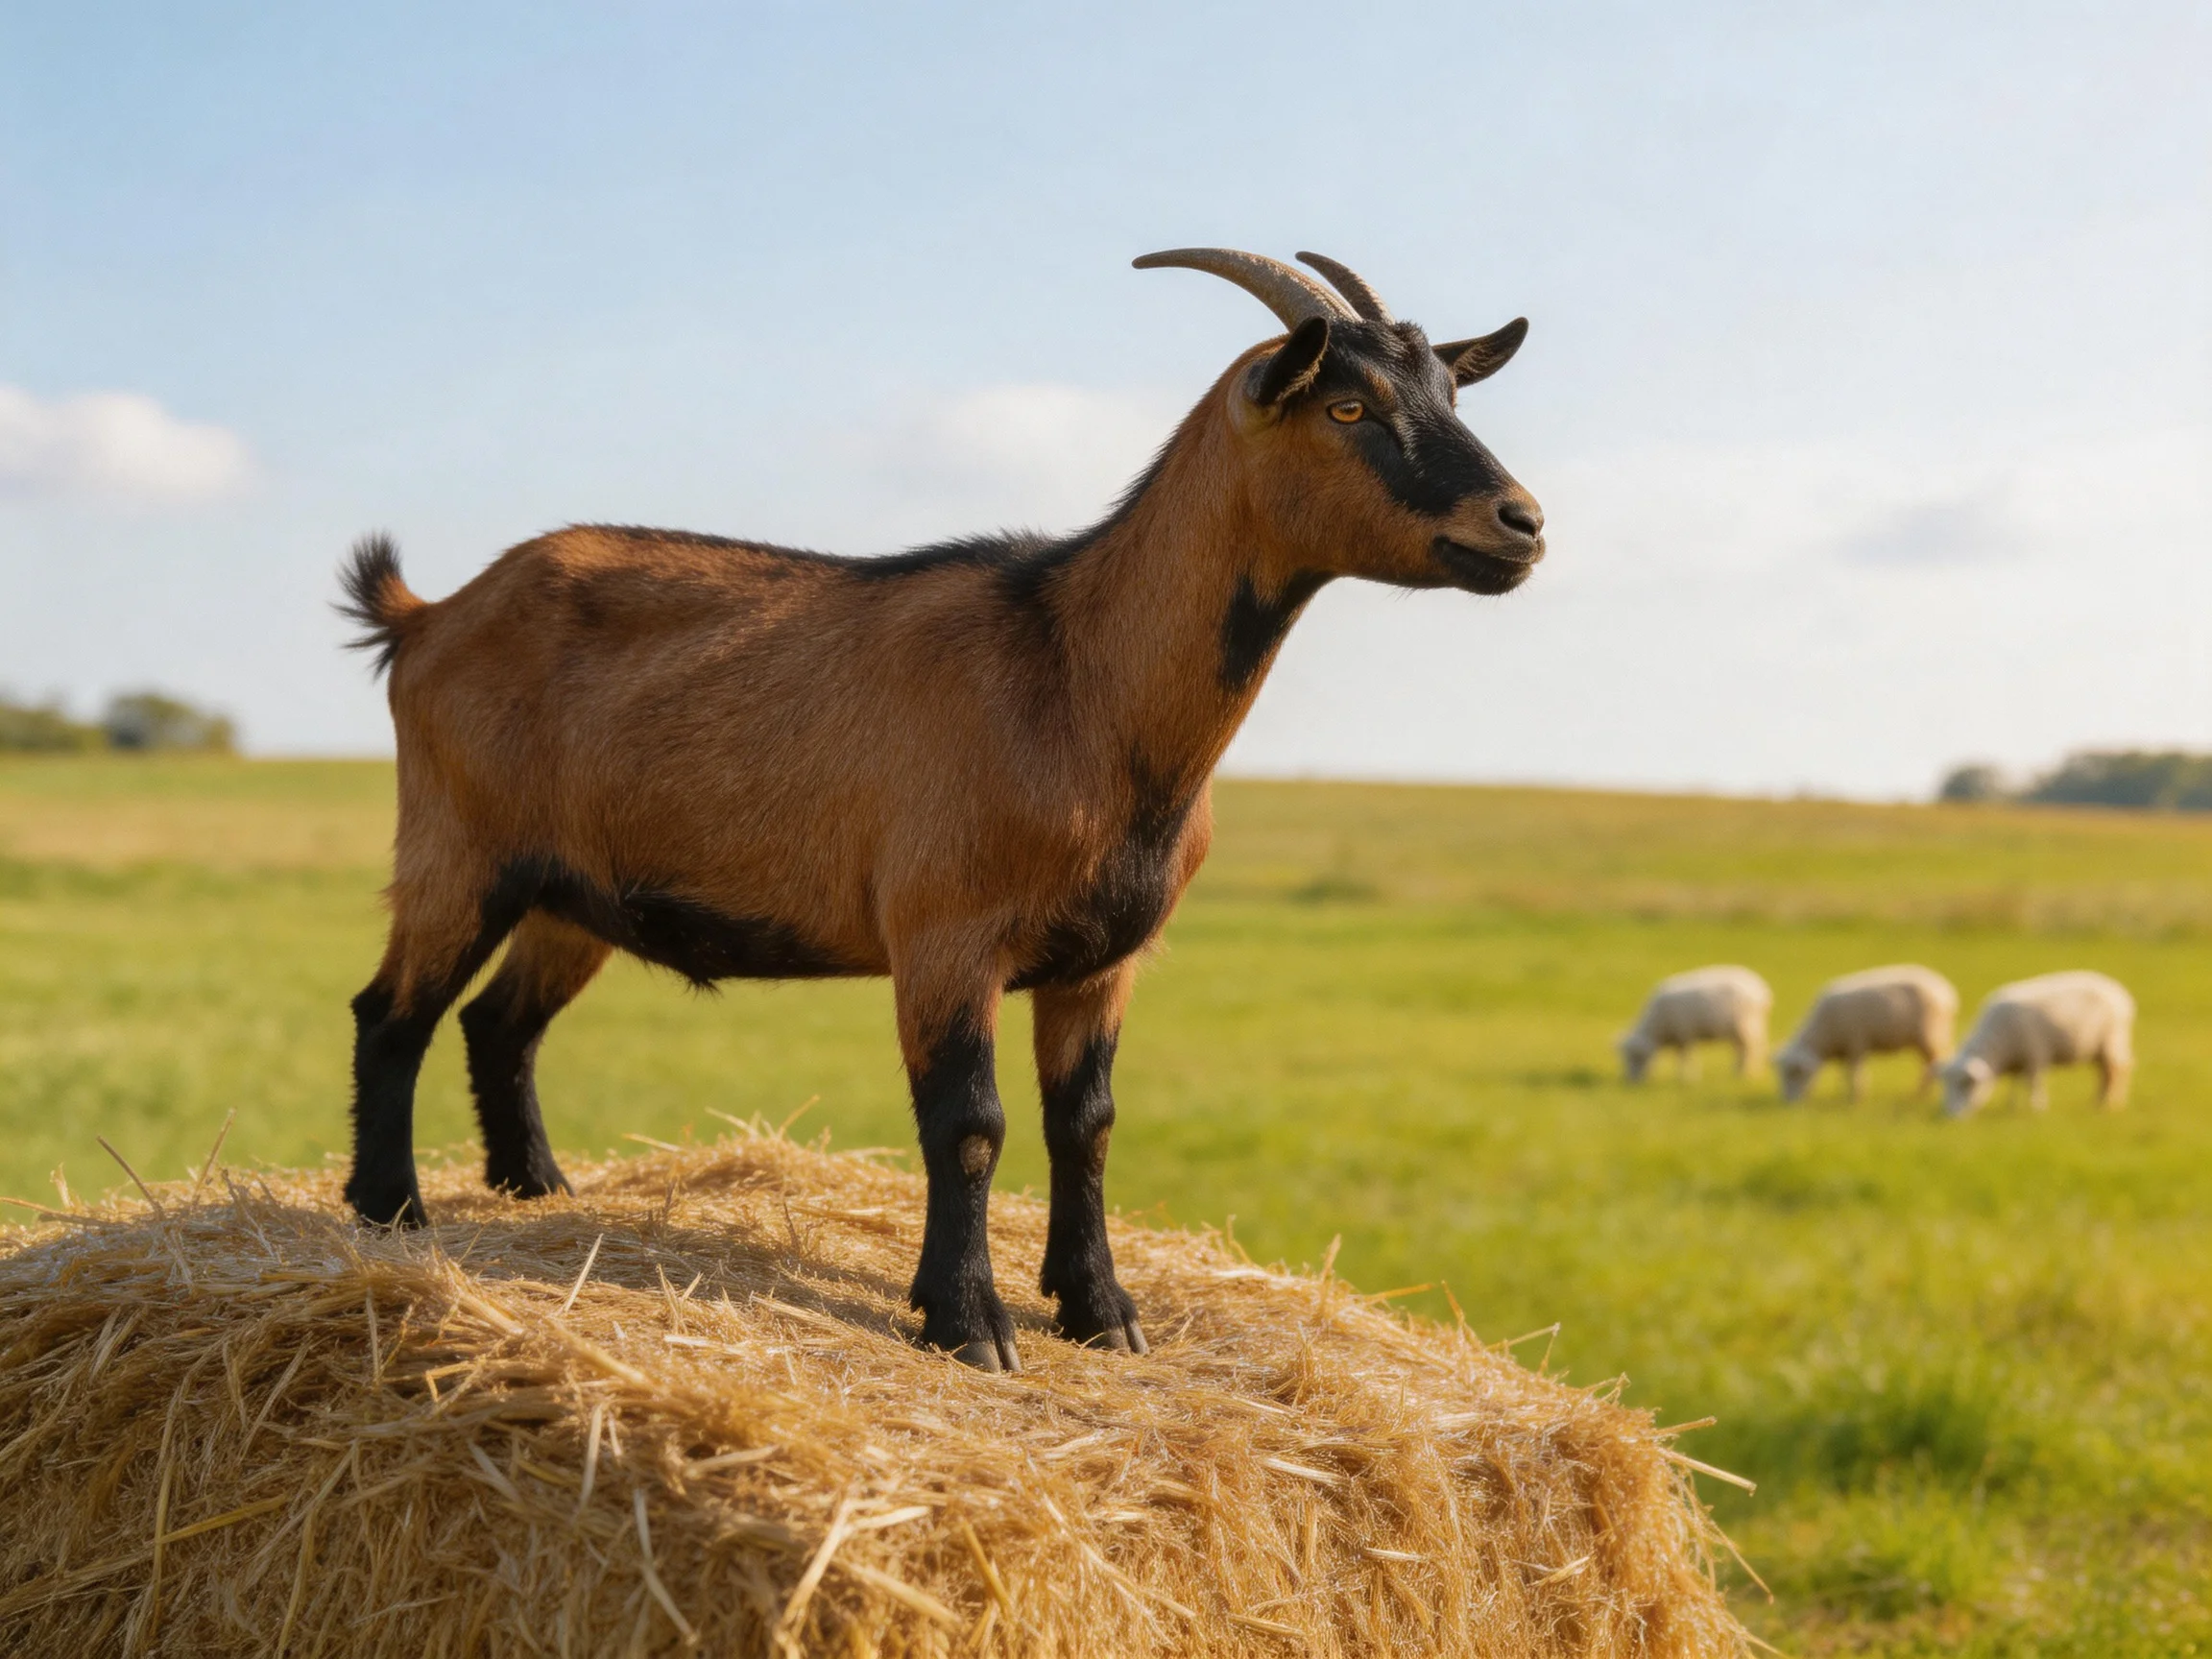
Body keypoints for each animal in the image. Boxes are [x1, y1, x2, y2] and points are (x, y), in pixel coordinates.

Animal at [335, 248, 1545, 1372]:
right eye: (1347, 407)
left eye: (1451, 392)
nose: (1522, 522)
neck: (1077, 675)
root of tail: (427, 617)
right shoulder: (944, 934)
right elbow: (969, 1126)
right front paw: (970, 1325)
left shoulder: (1105, 959)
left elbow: (1085, 1127)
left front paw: (1101, 1313)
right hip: (458, 849)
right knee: (392, 1013)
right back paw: (392, 1211)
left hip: (569, 893)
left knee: (500, 1023)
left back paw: (536, 1188)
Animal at [1617, 966, 1772, 1083]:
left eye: (1637, 1056)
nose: (1631, 1081)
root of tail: (1762, 990)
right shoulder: (1680, 1037)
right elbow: (1681, 1057)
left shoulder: (1685, 1034)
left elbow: (1686, 1057)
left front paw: (1687, 1078)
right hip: (1741, 1029)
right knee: (1742, 1050)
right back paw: (1739, 1071)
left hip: (1745, 1026)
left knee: (1750, 1050)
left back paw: (1745, 1074)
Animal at [1774, 964, 1959, 1103]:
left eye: (1795, 1072)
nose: (1789, 1102)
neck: (1823, 1035)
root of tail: (1947, 992)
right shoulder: (1845, 1051)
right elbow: (1844, 1075)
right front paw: (1842, 1095)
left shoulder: (1856, 1044)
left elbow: (1854, 1074)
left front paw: (1855, 1099)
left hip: (1931, 1037)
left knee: (1934, 1064)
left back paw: (1921, 1095)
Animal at [1937, 970, 2135, 1116]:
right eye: (1946, 1085)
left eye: (1966, 1084)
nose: (1951, 1116)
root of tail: (2121, 994)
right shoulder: (2017, 1059)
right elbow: (2015, 1083)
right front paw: (2011, 1106)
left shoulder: (2036, 1055)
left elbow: (2034, 1083)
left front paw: (2036, 1108)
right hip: (2099, 1049)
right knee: (2104, 1074)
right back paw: (2098, 1101)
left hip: (2113, 1040)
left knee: (2117, 1071)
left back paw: (2110, 1104)